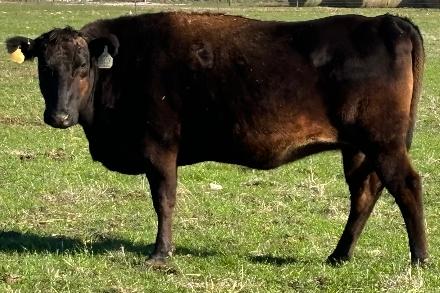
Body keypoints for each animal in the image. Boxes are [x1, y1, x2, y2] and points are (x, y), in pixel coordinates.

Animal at [5, 12, 428, 264]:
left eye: (82, 66)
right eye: (44, 66)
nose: (59, 117)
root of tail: (385, 20)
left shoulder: (160, 148)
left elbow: (164, 201)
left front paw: (160, 254)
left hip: (383, 142)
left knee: (406, 185)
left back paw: (419, 257)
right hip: (358, 148)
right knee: (365, 192)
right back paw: (339, 255)